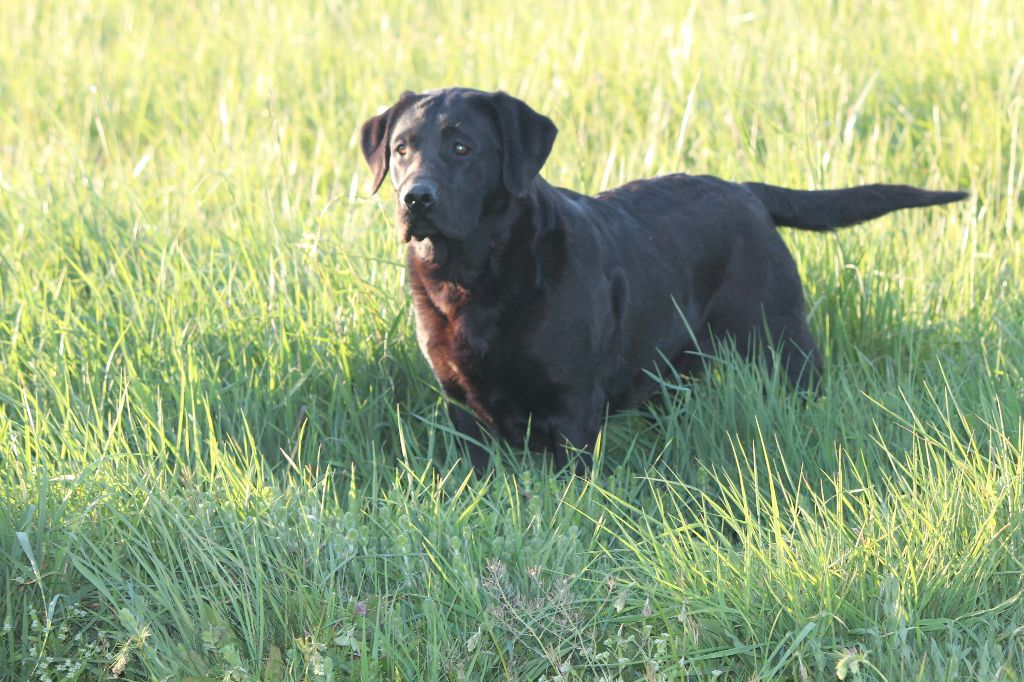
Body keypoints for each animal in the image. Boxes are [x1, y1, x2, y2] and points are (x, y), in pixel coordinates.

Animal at [362, 86, 966, 473]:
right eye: (401, 149)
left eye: (462, 147)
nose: (416, 198)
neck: (472, 278)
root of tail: (746, 190)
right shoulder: (461, 408)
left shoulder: (572, 406)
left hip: (781, 342)